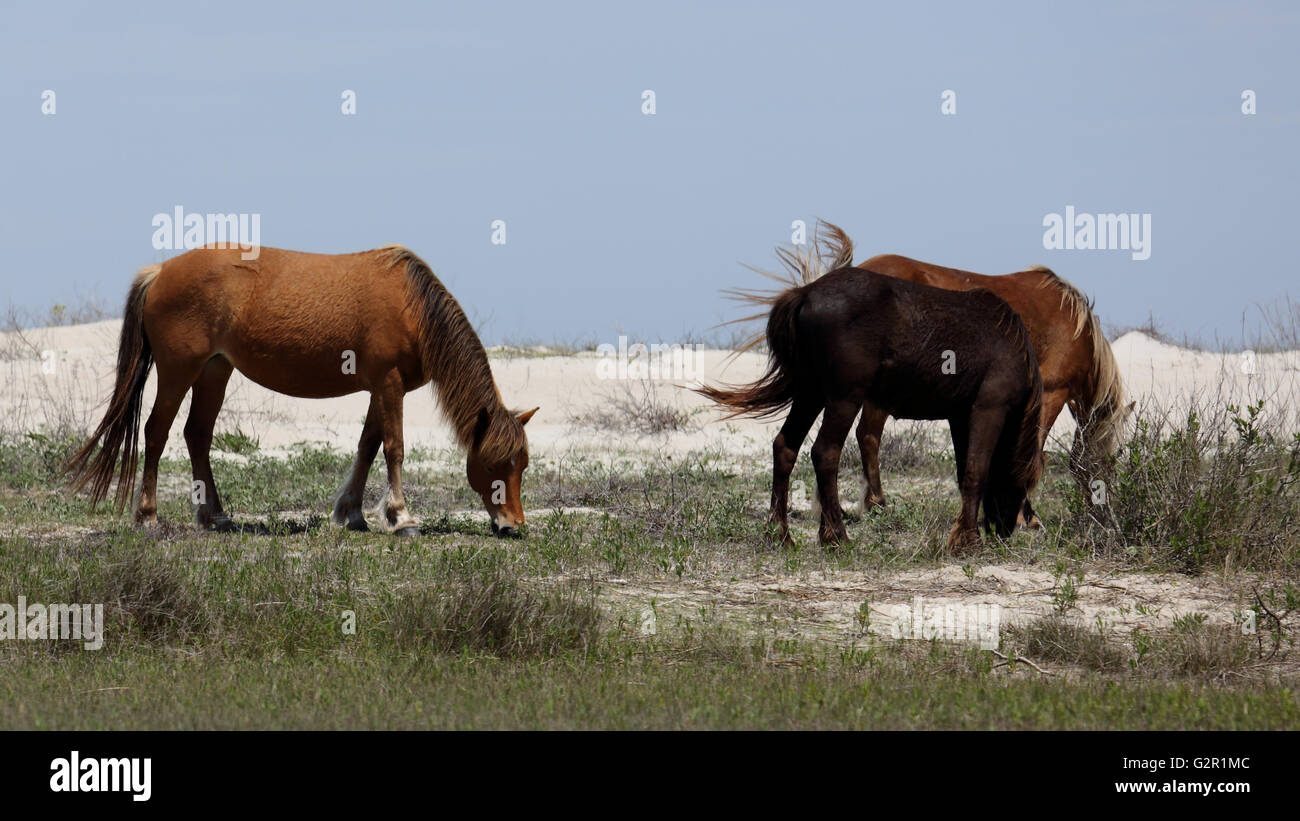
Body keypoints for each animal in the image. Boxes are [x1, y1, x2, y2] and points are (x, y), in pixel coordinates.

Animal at [63, 244, 540, 537]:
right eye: (495, 463)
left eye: (523, 464)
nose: (513, 525)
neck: (413, 307)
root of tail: (160, 272)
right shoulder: (389, 384)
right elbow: (394, 448)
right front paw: (401, 517)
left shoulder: (380, 388)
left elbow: (367, 446)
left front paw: (351, 513)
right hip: (179, 370)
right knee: (156, 433)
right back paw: (147, 515)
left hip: (215, 371)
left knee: (196, 434)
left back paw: (215, 515)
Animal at [852, 253, 1128, 530]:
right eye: (1113, 459)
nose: (1106, 518)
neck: (1076, 327)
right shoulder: (1052, 394)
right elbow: (1030, 456)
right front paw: (1023, 517)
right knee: (869, 437)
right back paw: (877, 504)